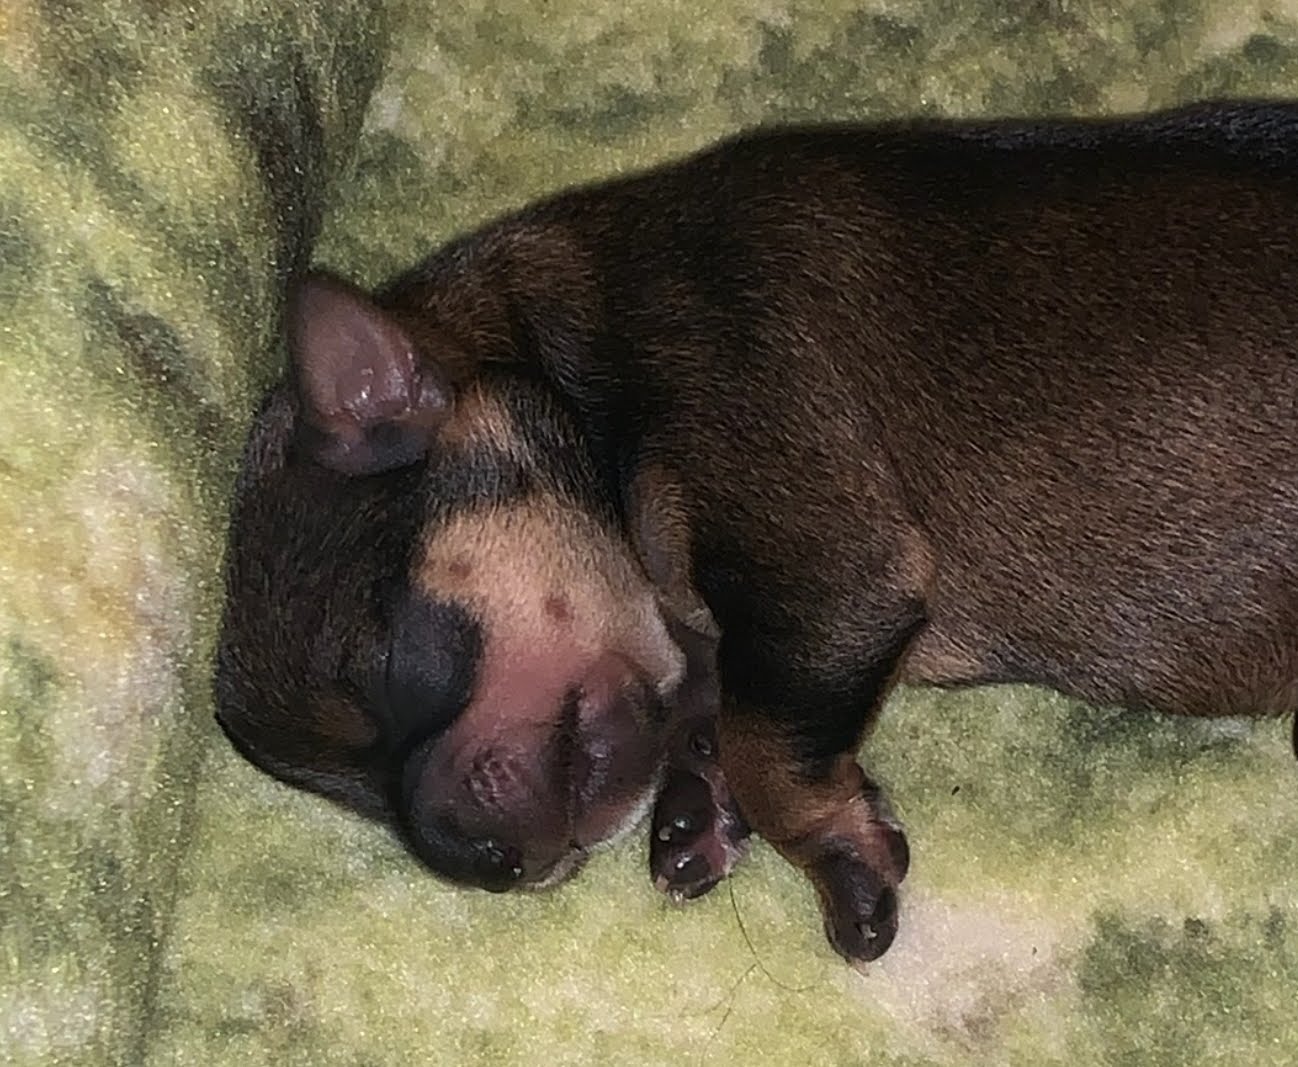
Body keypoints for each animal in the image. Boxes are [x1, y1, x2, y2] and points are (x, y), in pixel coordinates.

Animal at [215, 98, 1298, 965]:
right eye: (350, 794)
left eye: (387, 661)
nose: (477, 863)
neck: (576, 369)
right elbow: (729, 702)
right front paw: (696, 803)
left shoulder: (828, 565)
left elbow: (764, 739)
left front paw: (834, 858)